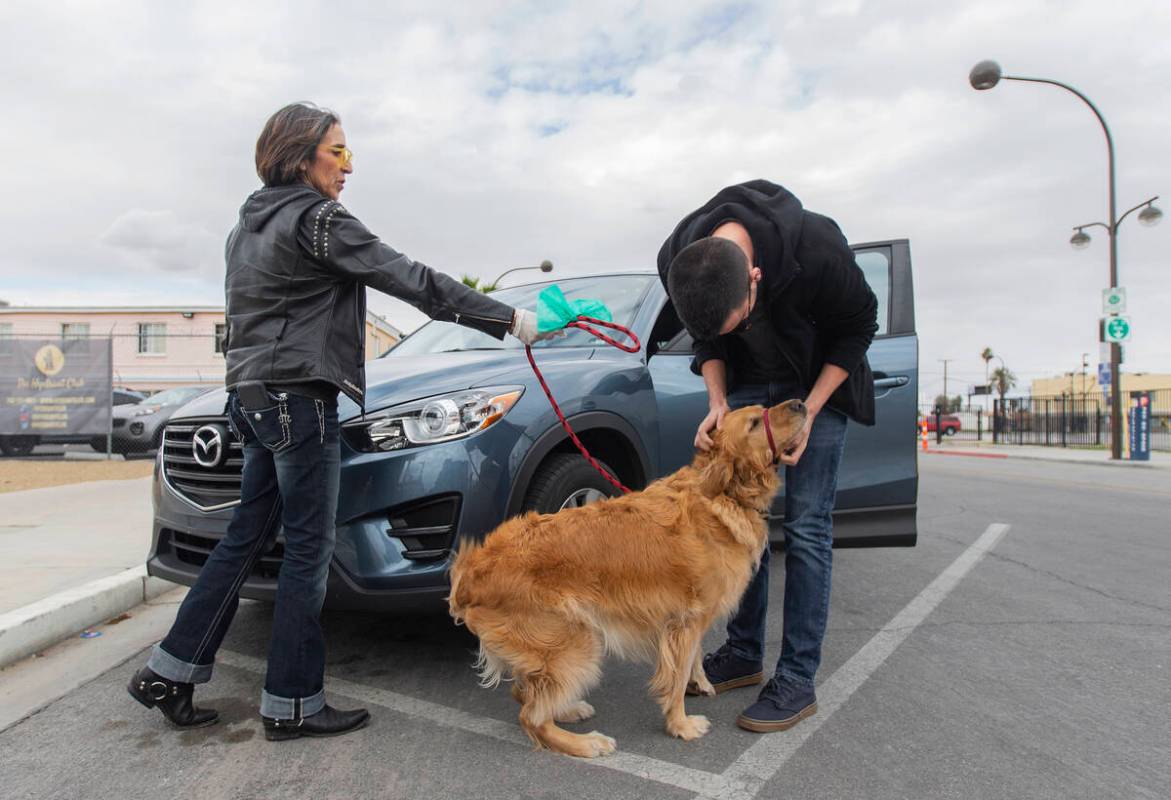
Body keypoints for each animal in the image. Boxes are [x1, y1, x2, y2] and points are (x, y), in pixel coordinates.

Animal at [444, 400, 805, 759]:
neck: (719, 494)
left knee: (526, 693)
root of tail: (471, 572)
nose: (801, 404)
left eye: (762, 409)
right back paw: (586, 742)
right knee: (531, 716)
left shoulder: (689, 621)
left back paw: (568, 708)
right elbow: (677, 678)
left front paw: (699, 682)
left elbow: (692, 661)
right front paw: (681, 725)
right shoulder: (685, 620)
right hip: (575, 641)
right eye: (754, 423)